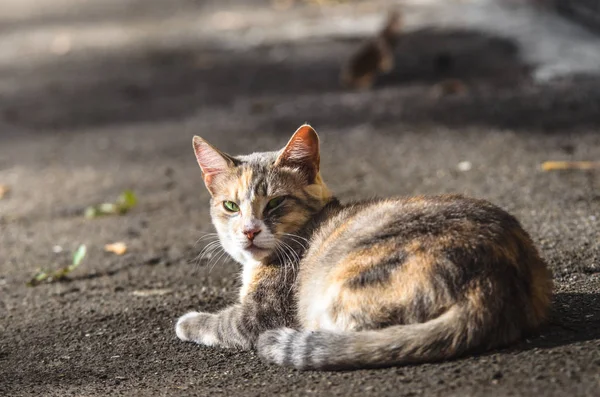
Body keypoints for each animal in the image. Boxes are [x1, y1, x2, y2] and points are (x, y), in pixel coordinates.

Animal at [177, 124, 552, 368]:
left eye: (275, 203)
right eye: (230, 206)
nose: (249, 231)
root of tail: (490, 283)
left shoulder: (262, 315)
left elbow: (223, 322)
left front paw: (188, 321)